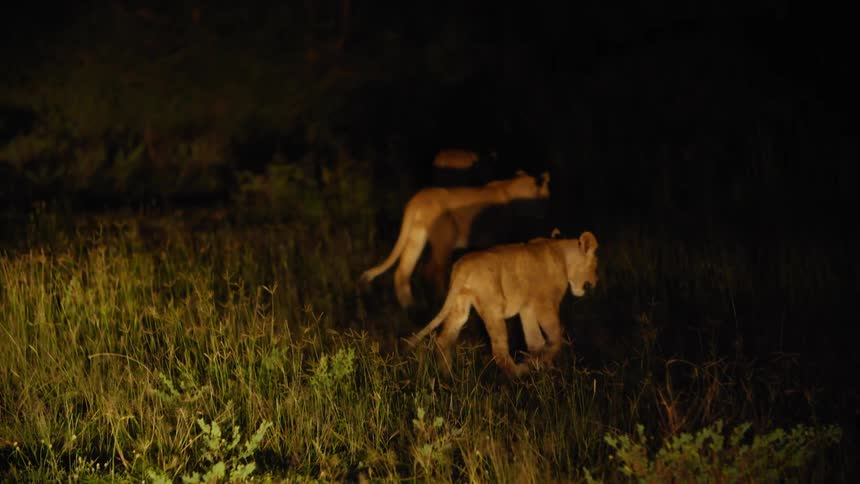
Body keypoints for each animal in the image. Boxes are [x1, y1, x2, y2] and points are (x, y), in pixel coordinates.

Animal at [359, 170, 550, 308]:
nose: (549, 210)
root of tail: (418, 199)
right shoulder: (495, 239)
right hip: (445, 239)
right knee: (434, 272)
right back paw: (437, 302)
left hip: (416, 236)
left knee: (403, 271)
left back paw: (411, 308)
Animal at [405, 231, 599, 378]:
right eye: (595, 267)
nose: (595, 283)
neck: (562, 254)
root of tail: (463, 267)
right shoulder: (545, 304)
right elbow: (555, 338)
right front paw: (539, 363)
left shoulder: (527, 307)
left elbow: (535, 341)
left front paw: (538, 364)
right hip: (494, 308)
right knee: (499, 351)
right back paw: (518, 373)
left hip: (460, 304)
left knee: (443, 339)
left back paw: (448, 376)